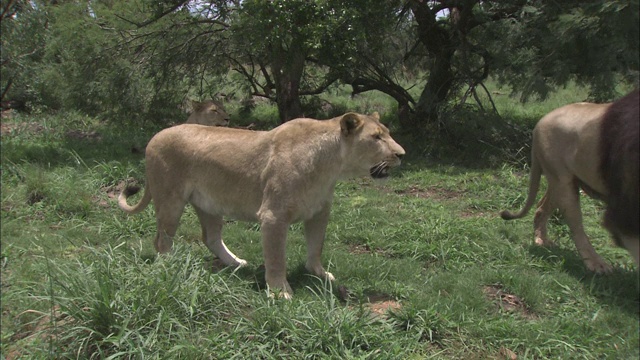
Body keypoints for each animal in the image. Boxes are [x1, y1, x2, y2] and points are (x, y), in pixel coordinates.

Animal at [119, 112, 404, 298]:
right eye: (376, 137)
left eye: (389, 134)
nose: (402, 154)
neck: (331, 165)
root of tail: (154, 136)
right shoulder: (273, 215)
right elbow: (277, 258)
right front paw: (280, 293)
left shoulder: (319, 212)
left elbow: (316, 247)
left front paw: (320, 274)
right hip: (170, 200)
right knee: (162, 239)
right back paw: (169, 267)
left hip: (210, 204)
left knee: (210, 237)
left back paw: (236, 263)